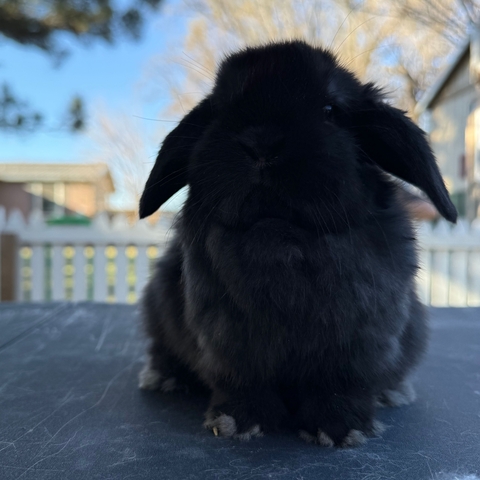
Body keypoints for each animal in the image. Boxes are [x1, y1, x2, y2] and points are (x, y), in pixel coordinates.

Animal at [137, 40, 457, 447]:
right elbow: (240, 382)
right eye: (221, 112)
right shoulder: (227, 341)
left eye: (330, 111)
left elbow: (342, 385)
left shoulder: (360, 341)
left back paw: (393, 392)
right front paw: (238, 420)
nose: (261, 142)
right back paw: (164, 376)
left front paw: (339, 427)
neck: (281, 242)